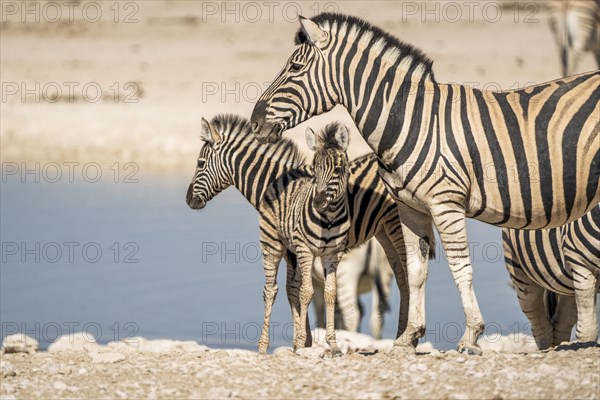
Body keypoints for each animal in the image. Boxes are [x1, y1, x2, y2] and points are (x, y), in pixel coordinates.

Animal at [185, 115, 434, 354]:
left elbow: (293, 291)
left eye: (200, 163)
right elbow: (295, 291)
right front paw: (304, 341)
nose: (189, 201)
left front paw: (302, 342)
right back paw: (402, 337)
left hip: (394, 227)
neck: (276, 182)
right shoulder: (294, 248)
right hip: (383, 234)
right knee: (400, 282)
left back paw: (406, 337)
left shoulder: (292, 249)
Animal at [504, 205, 596, 348]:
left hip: (567, 284)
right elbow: (587, 331)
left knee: (561, 323)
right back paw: (546, 348)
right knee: (539, 324)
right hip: (519, 271)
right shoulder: (582, 267)